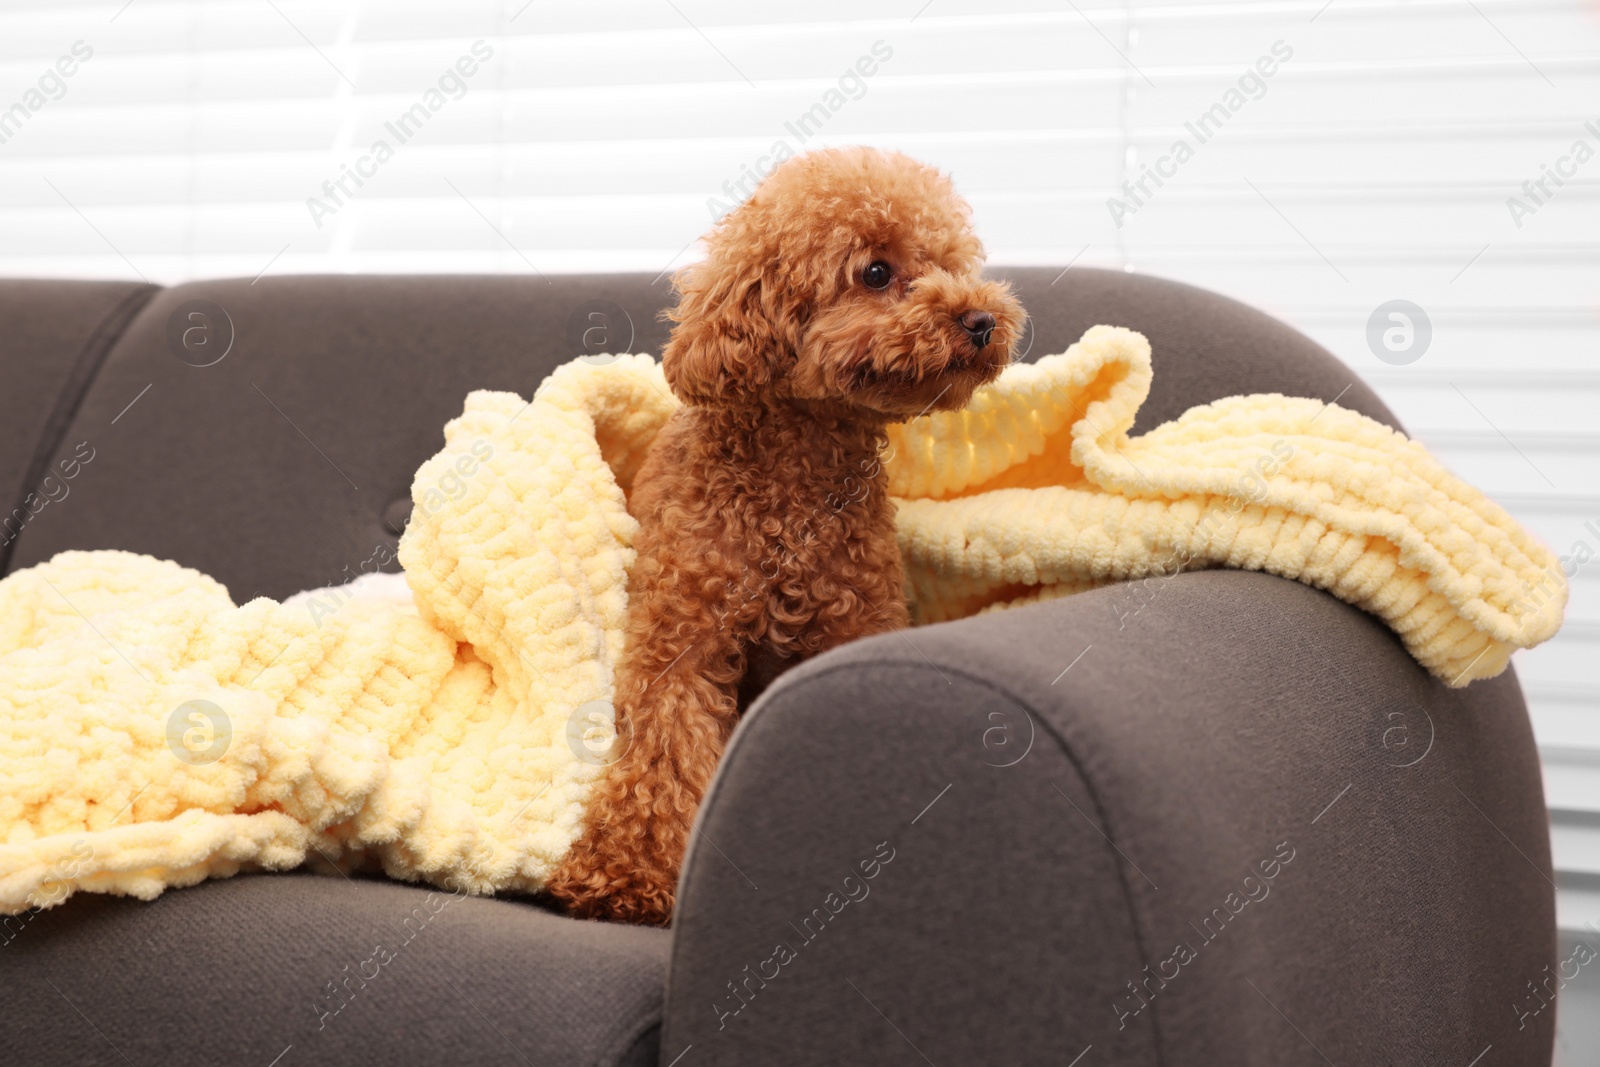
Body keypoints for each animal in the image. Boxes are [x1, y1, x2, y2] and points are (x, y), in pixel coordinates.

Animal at [547, 147, 1024, 927]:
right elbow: (661, 753)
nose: (983, 319)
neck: (793, 486)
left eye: (952, 262)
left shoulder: (854, 625)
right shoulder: (681, 645)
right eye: (876, 272)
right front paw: (627, 873)